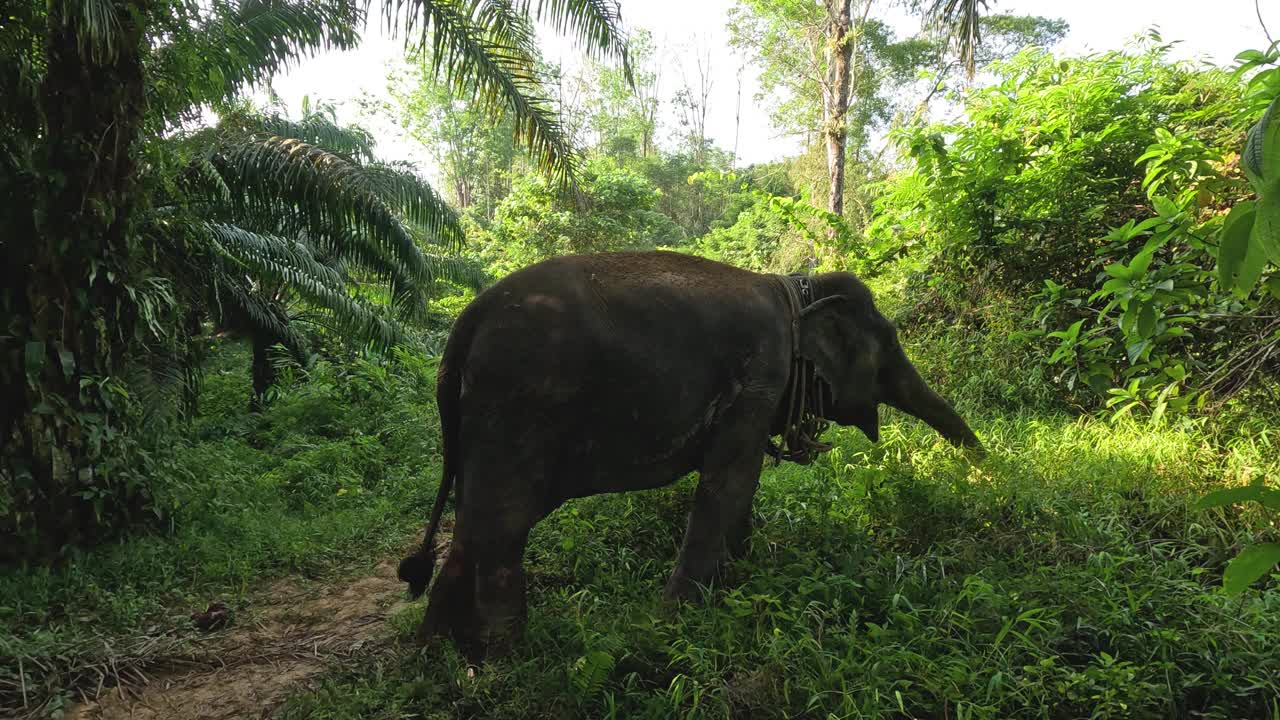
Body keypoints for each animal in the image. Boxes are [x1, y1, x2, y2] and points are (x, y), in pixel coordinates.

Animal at [396, 249, 977, 661]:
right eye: (890, 344)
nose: (983, 467)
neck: (795, 289)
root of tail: (463, 326)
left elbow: (741, 486)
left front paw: (740, 583)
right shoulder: (760, 376)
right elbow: (728, 485)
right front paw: (673, 624)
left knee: (474, 522)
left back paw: (437, 652)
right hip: (516, 407)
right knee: (503, 524)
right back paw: (502, 656)